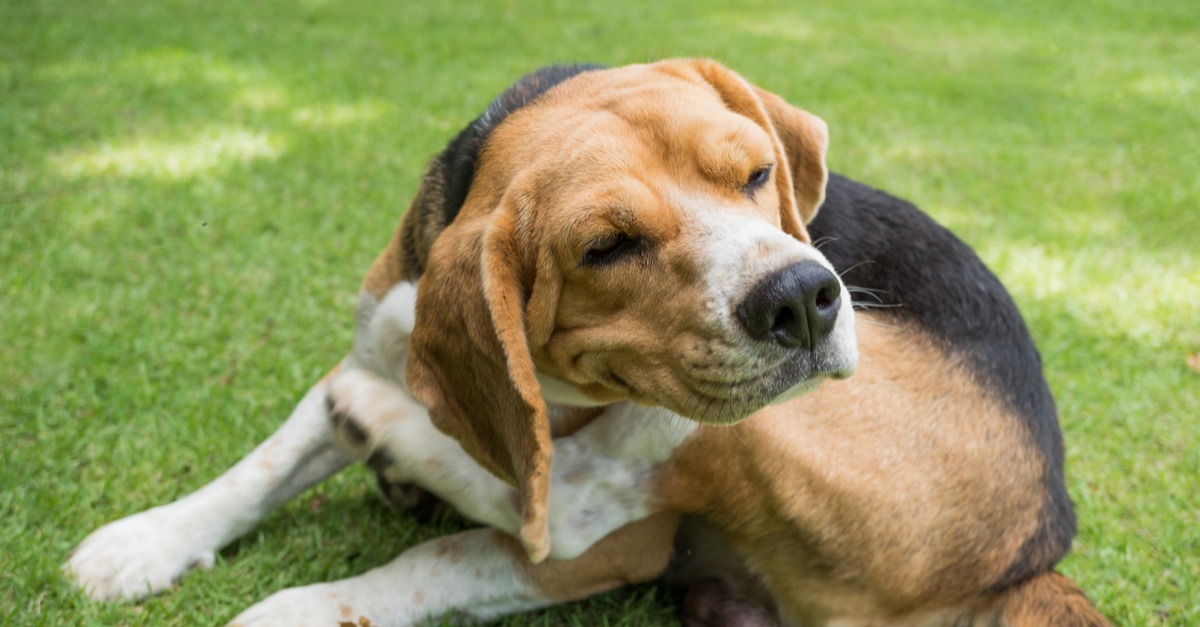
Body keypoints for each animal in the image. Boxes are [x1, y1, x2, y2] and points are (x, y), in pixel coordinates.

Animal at [68, 58, 1104, 624]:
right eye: (607, 246)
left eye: (756, 174)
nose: (807, 298)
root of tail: (1034, 551)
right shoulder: (370, 339)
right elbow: (262, 464)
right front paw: (144, 542)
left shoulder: (617, 547)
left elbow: (436, 560)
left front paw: (301, 608)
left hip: (760, 424)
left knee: (561, 502)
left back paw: (397, 438)